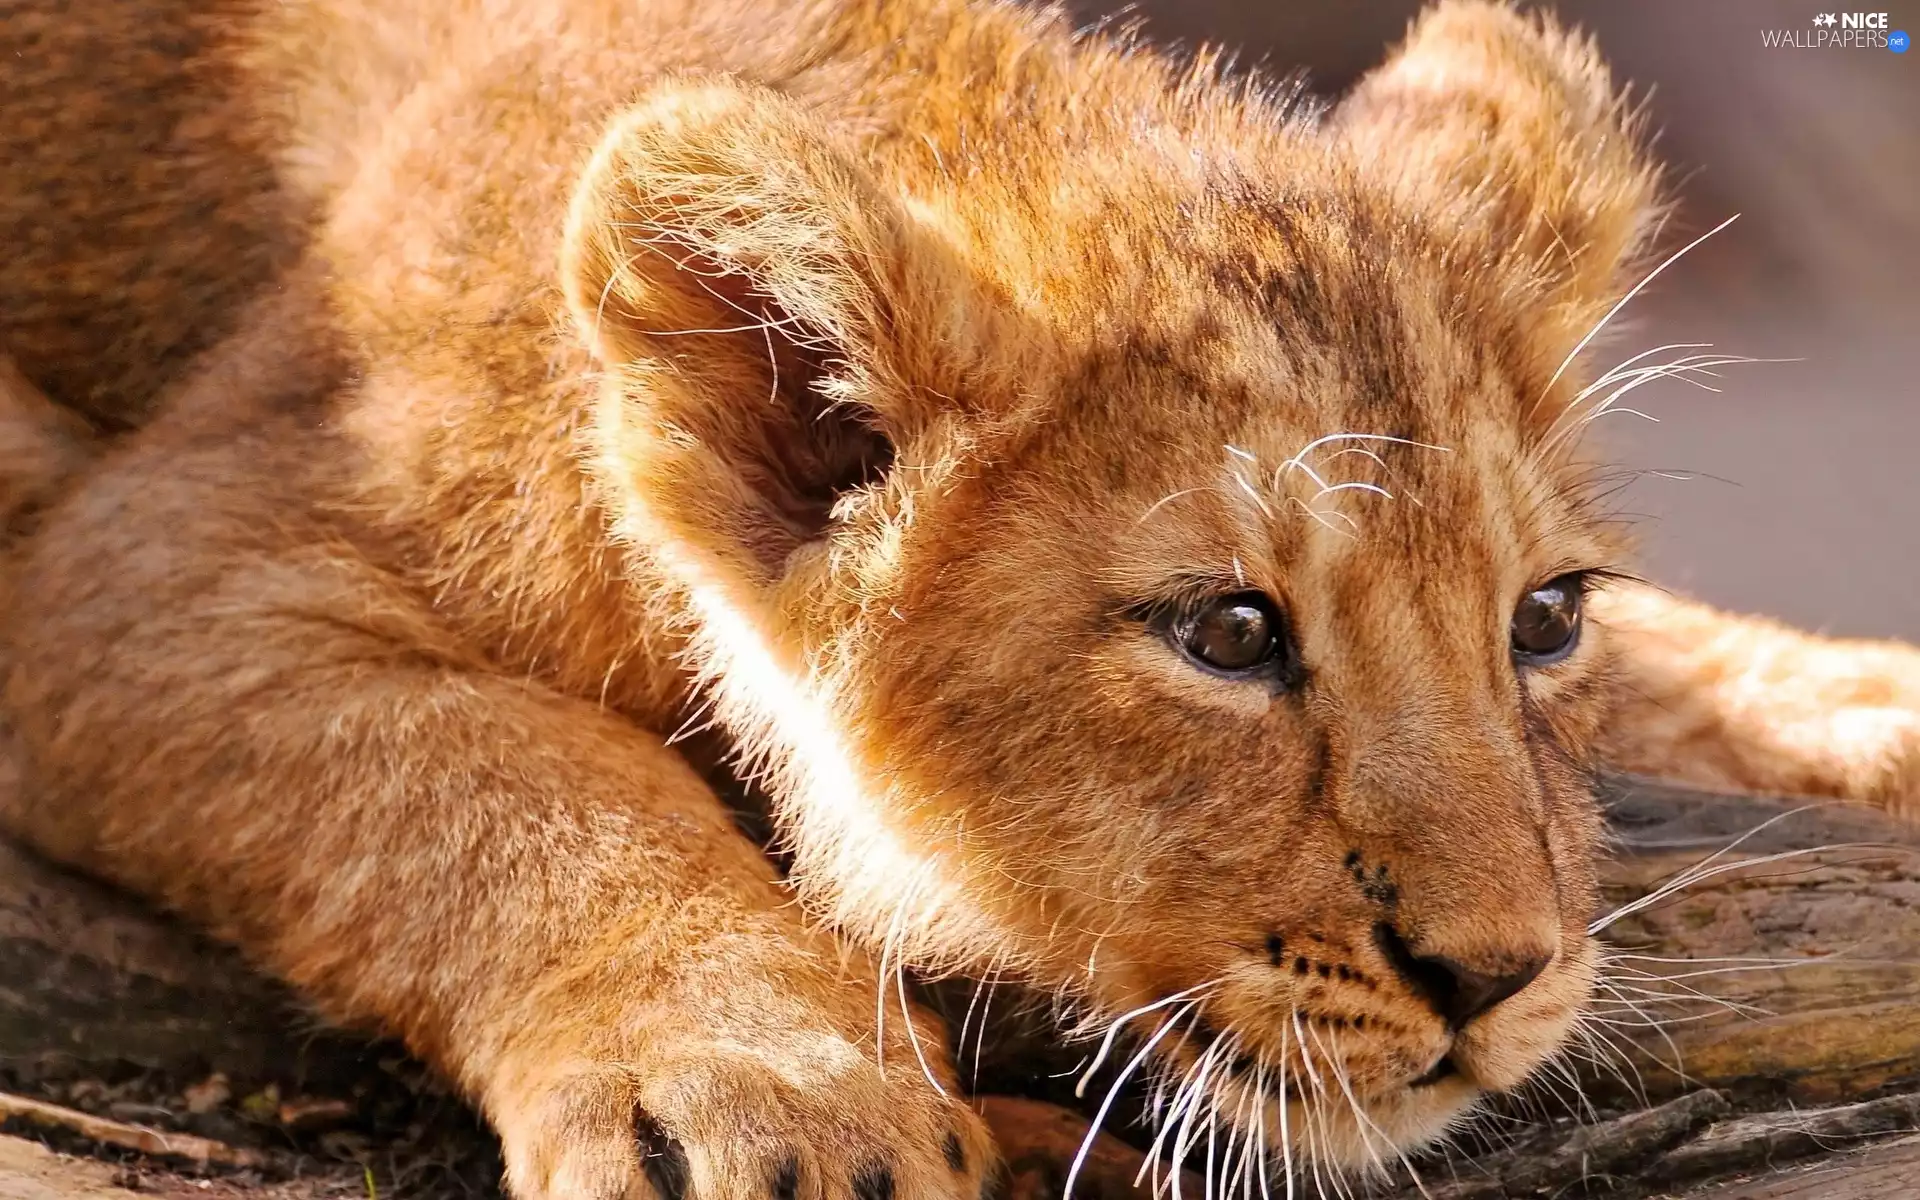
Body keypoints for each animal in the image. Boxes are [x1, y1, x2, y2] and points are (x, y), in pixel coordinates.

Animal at [3, 0, 1918, 1196]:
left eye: (1545, 621)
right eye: (1230, 635)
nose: (1498, 979)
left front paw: (1868, 711)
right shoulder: (145, 561)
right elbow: (493, 773)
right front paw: (769, 1082)